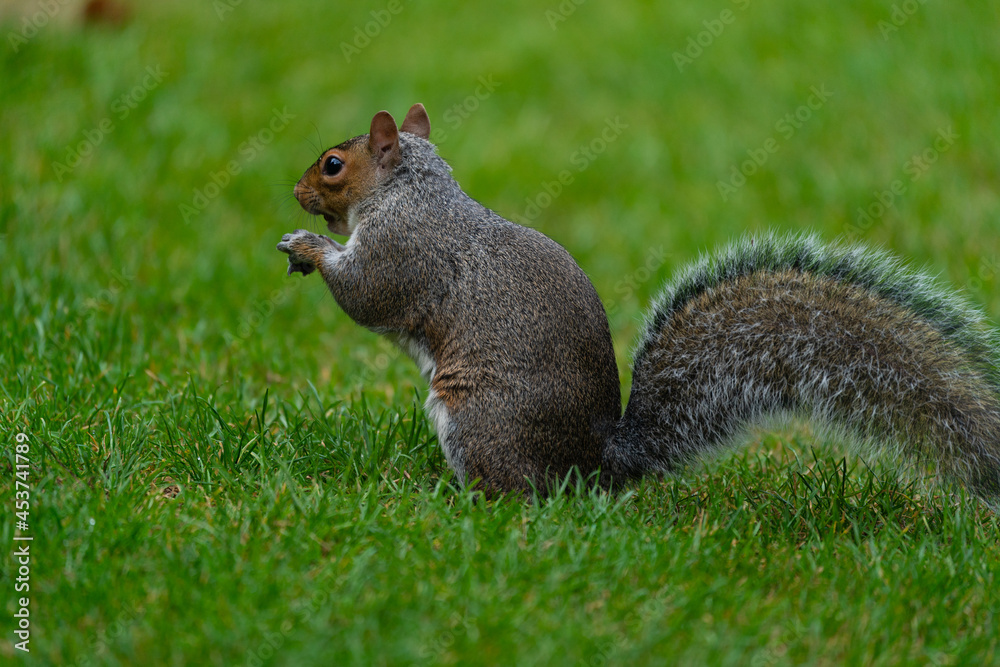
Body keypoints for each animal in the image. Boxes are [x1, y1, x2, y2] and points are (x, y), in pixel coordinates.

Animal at [278, 103, 1000, 504]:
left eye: (334, 165)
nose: (294, 191)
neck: (414, 188)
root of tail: (597, 466)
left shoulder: (403, 250)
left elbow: (365, 293)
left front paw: (309, 245)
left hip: (477, 419)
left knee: (517, 492)